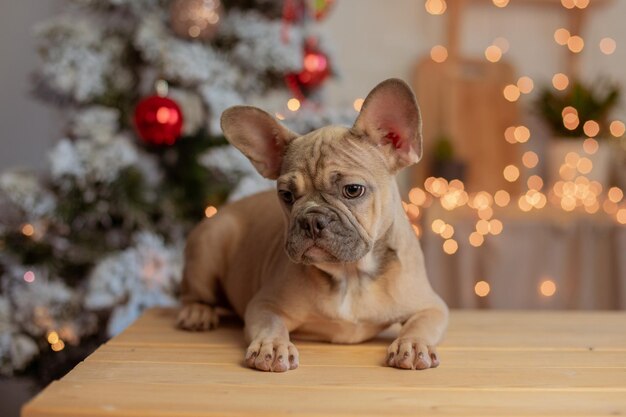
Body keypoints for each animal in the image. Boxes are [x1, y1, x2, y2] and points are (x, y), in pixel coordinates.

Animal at [178, 79, 446, 372]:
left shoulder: (431, 306)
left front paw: (414, 344)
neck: (350, 275)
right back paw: (197, 312)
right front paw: (273, 346)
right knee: (194, 293)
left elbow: (421, 324)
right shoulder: (264, 304)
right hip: (210, 244)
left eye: (353, 190)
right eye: (286, 195)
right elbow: (271, 324)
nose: (311, 219)